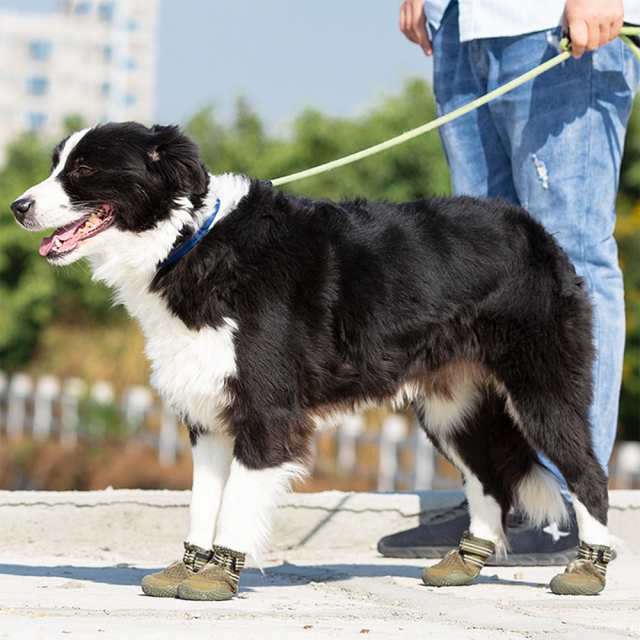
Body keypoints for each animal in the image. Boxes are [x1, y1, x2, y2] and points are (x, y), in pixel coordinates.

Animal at [10, 124, 608, 596]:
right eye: (56, 164)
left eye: (84, 169)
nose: (18, 207)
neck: (190, 241)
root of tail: (534, 232)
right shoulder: (208, 410)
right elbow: (203, 500)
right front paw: (187, 567)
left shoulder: (267, 410)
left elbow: (237, 500)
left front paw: (217, 575)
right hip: (449, 407)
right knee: (486, 480)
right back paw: (463, 563)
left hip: (542, 391)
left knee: (587, 474)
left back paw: (589, 570)